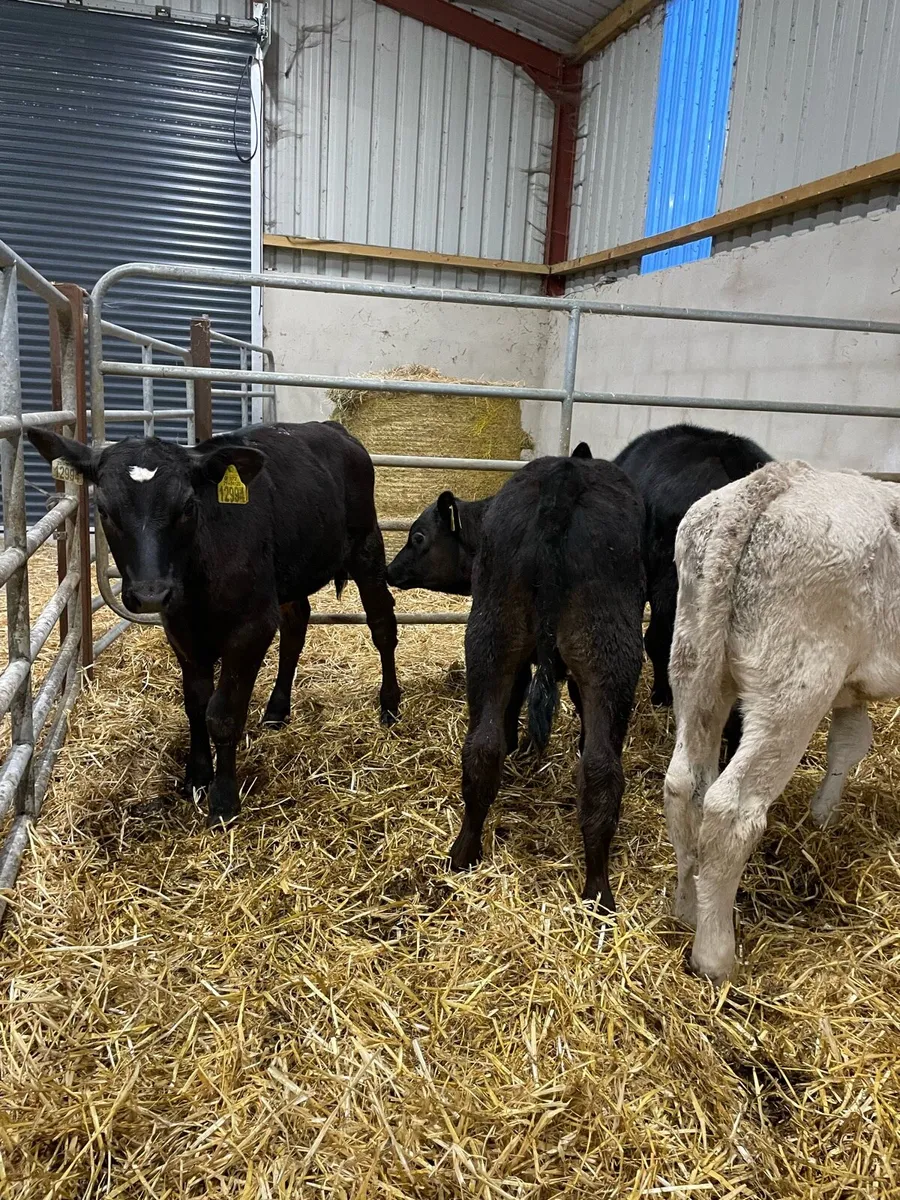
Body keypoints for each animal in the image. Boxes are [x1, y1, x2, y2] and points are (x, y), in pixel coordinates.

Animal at [28, 422, 401, 826]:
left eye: (188, 506)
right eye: (104, 510)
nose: (150, 594)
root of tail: (333, 428)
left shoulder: (252, 626)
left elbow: (223, 714)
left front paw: (224, 801)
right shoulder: (181, 627)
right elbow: (195, 704)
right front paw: (197, 775)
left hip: (366, 546)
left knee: (382, 625)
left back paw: (390, 705)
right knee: (296, 627)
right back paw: (277, 710)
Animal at [388, 446, 645, 909]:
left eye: (418, 538)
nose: (389, 569)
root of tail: (564, 477)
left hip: (493, 637)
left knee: (486, 747)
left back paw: (465, 854)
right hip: (603, 651)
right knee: (599, 767)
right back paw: (597, 892)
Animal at [664, 460, 900, 983]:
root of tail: (778, 480)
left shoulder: (850, 686)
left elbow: (849, 742)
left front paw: (823, 816)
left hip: (692, 658)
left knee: (684, 783)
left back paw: (688, 908)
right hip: (794, 685)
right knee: (731, 809)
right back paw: (715, 958)